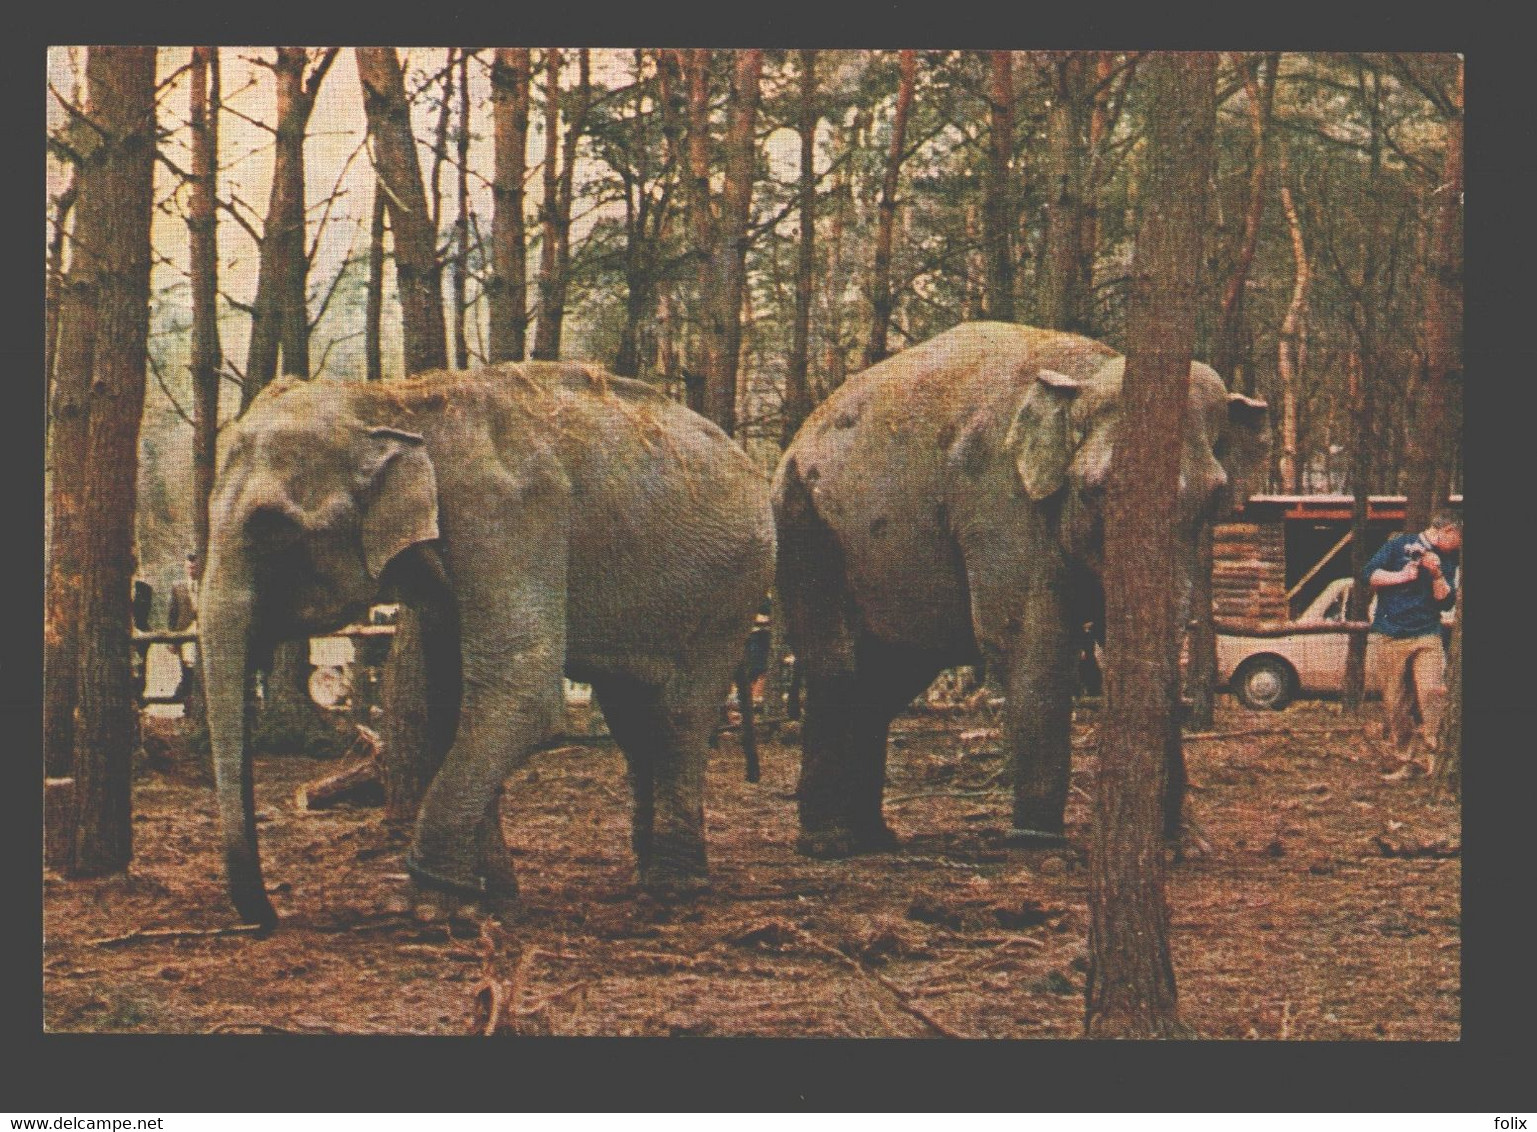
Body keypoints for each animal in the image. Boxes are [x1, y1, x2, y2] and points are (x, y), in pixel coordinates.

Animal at [201, 364, 780, 928]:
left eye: (270, 525)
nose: (271, 914)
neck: (397, 402)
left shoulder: (508, 518)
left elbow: (521, 695)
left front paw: (431, 907)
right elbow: (446, 703)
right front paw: (492, 899)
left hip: (733, 590)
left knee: (680, 716)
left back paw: (674, 887)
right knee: (633, 718)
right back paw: (646, 873)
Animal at [774, 322, 1266, 855]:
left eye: (1214, 498)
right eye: (1098, 491)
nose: (1176, 838)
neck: (1087, 373)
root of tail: (797, 439)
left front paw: (1180, 846)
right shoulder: (996, 496)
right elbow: (1027, 642)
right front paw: (1037, 841)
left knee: (887, 679)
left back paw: (876, 838)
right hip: (805, 524)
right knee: (838, 668)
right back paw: (830, 843)